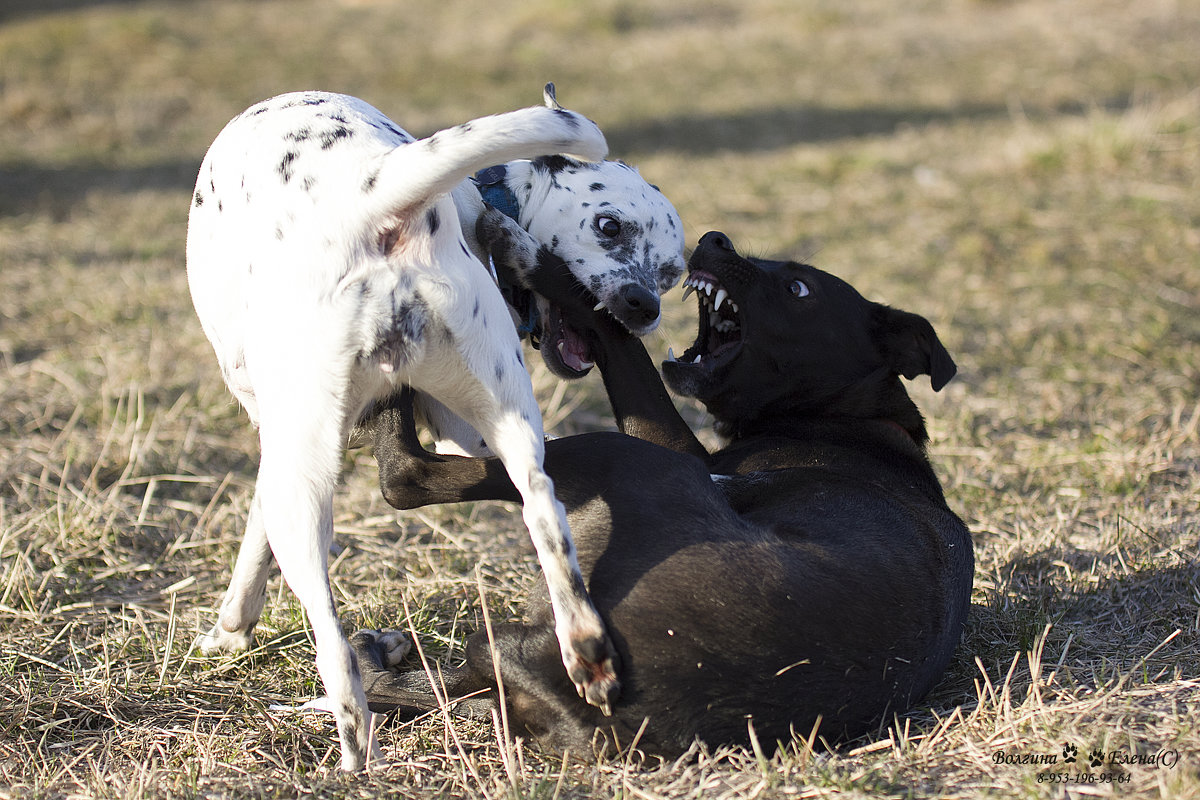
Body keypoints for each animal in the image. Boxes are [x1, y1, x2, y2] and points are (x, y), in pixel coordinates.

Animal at [183, 87, 667, 767]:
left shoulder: (274, 438)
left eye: (670, 271)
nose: (642, 306)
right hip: (510, 420)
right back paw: (585, 646)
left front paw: (230, 628)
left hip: (301, 488)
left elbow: (253, 542)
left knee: (333, 644)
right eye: (609, 225)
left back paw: (353, 751)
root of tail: (373, 199)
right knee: (545, 512)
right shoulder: (456, 431)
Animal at [355, 230, 974, 758]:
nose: (716, 239)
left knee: (406, 476)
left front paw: (540, 257)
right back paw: (372, 658)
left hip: (622, 458)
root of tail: (596, 713)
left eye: (799, 289)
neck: (845, 418)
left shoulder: (672, 445)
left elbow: (612, 330)